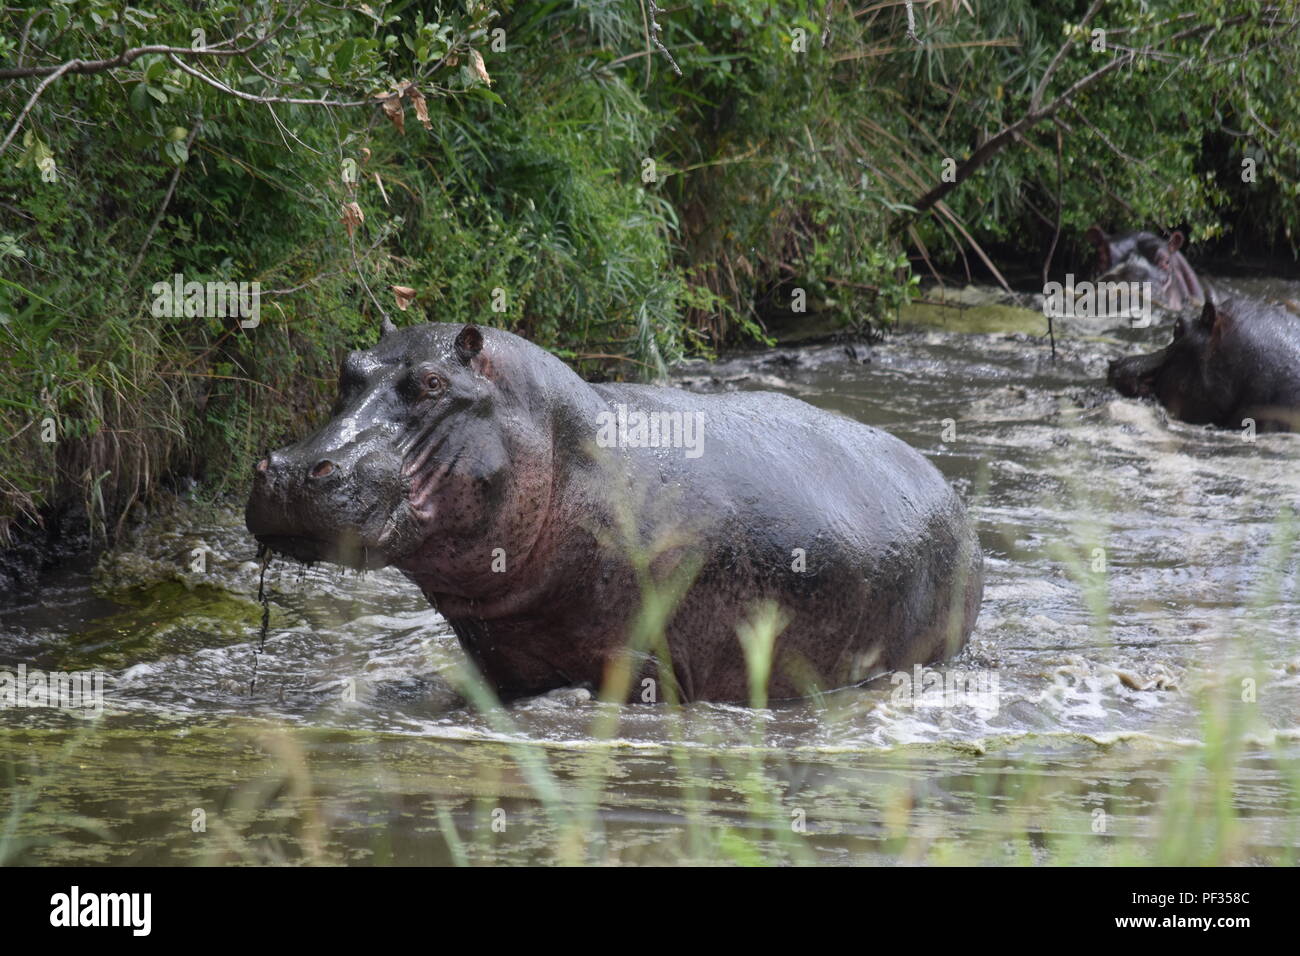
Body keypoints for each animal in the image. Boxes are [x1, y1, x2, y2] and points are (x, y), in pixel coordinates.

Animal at [244, 321, 977, 702]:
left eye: (431, 383)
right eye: (347, 368)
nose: (289, 468)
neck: (567, 456)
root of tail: (949, 492)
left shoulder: (638, 662)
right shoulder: (499, 660)